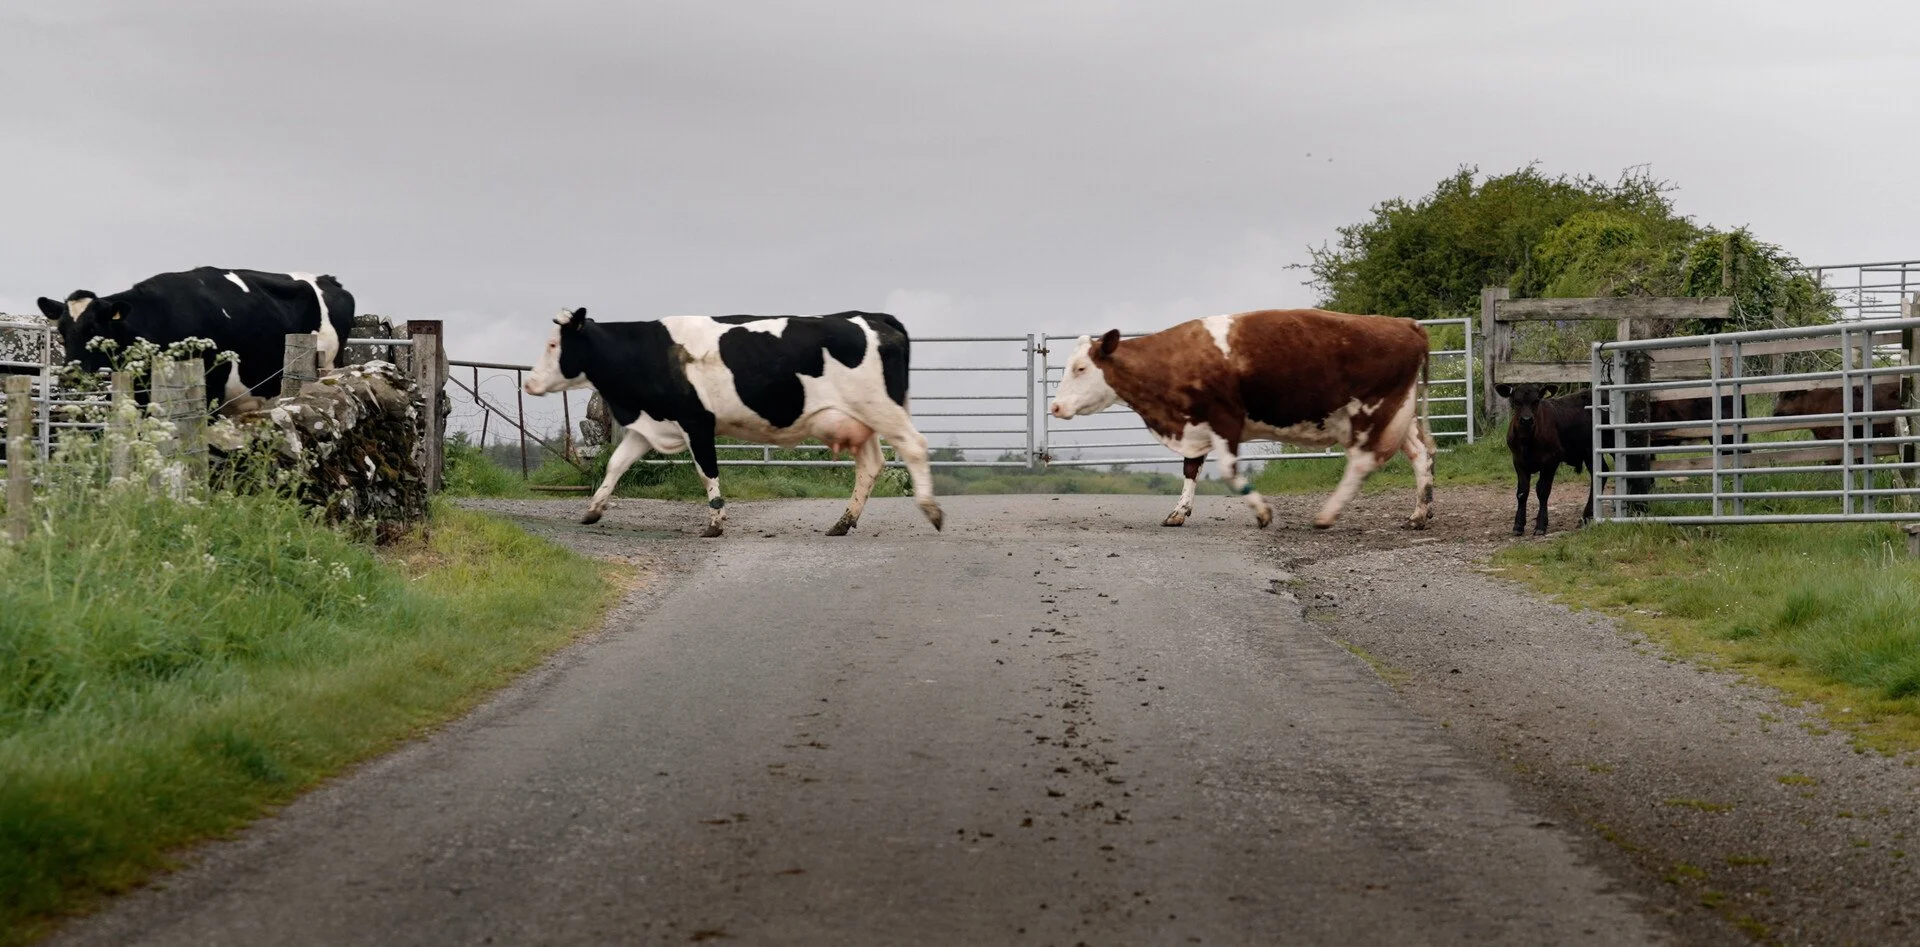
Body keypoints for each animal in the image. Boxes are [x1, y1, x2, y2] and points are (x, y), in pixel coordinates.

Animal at [38, 267, 355, 414]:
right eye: (62, 330)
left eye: (95, 329)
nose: (69, 376)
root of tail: (328, 279)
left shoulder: (210, 390)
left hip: (328, 367)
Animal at [522, 307, 944, 538]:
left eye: (553, 345)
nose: (529, 382)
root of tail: (872, 316)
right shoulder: (650, 424)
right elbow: (615, 464)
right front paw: (592, 510)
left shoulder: (696, 421)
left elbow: (706, 470)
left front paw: (715, 522)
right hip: (860, 419)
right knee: (872, 464)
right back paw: (843, 522)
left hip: (882, 408)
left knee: (914, 446)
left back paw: (931, 510)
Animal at [1047, 308, 1436, 530]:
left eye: (1080, 368)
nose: (1055, 407)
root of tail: (1406, 324)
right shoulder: (1196, 424)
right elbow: (1191, 469)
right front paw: (1179, 512)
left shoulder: (1225, 419)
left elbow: (1229, 472)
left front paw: (1262, 512)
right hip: (1399, 414)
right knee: (1421, 454)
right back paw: (1420, 513)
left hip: (1371, 411)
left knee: (1363, 461)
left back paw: (1327, 515)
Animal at [1495, 383, 1599, 536]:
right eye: (1516, 401)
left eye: (1536, 401)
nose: (1526, 419)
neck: (1527, 440)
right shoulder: (1518, 461)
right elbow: (1522, 492)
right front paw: (1518, 525)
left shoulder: (1551, 460)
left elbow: (1543, 491)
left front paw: (1540, 525)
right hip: (1589, 454)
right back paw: (1586, 517)